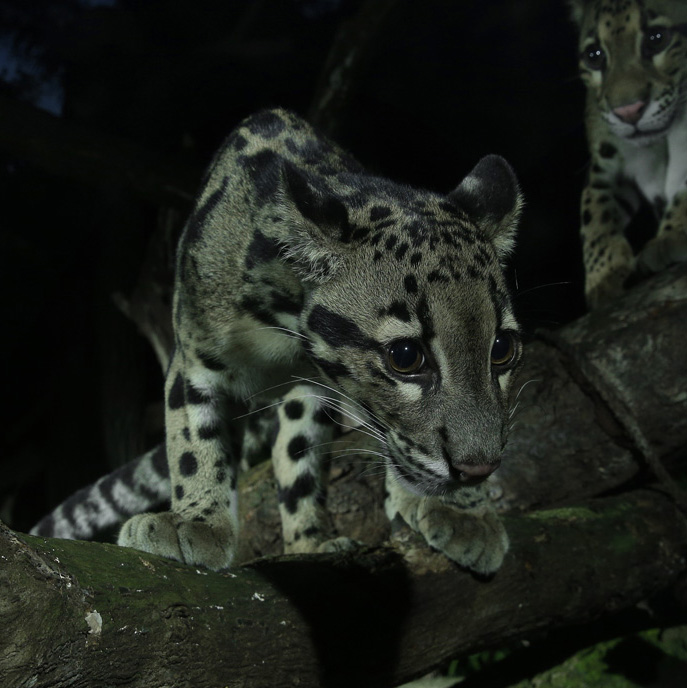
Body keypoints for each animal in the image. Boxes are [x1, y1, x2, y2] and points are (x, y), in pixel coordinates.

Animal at [31, 108, 523, 575]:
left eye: (503, 349)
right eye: (406, 356)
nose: (479, 469)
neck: (285, 334)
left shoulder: (311, 390)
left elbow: (301, 460)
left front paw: (456, 511)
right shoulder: (192, 354)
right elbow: (192, 438)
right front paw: (196, 522)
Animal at [570, 0, 687, 309]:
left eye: (657, 38)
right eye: (594, 55)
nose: (629, 112)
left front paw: (671, 238)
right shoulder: (603, 164)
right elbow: (594, 212)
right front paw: (604, 276)